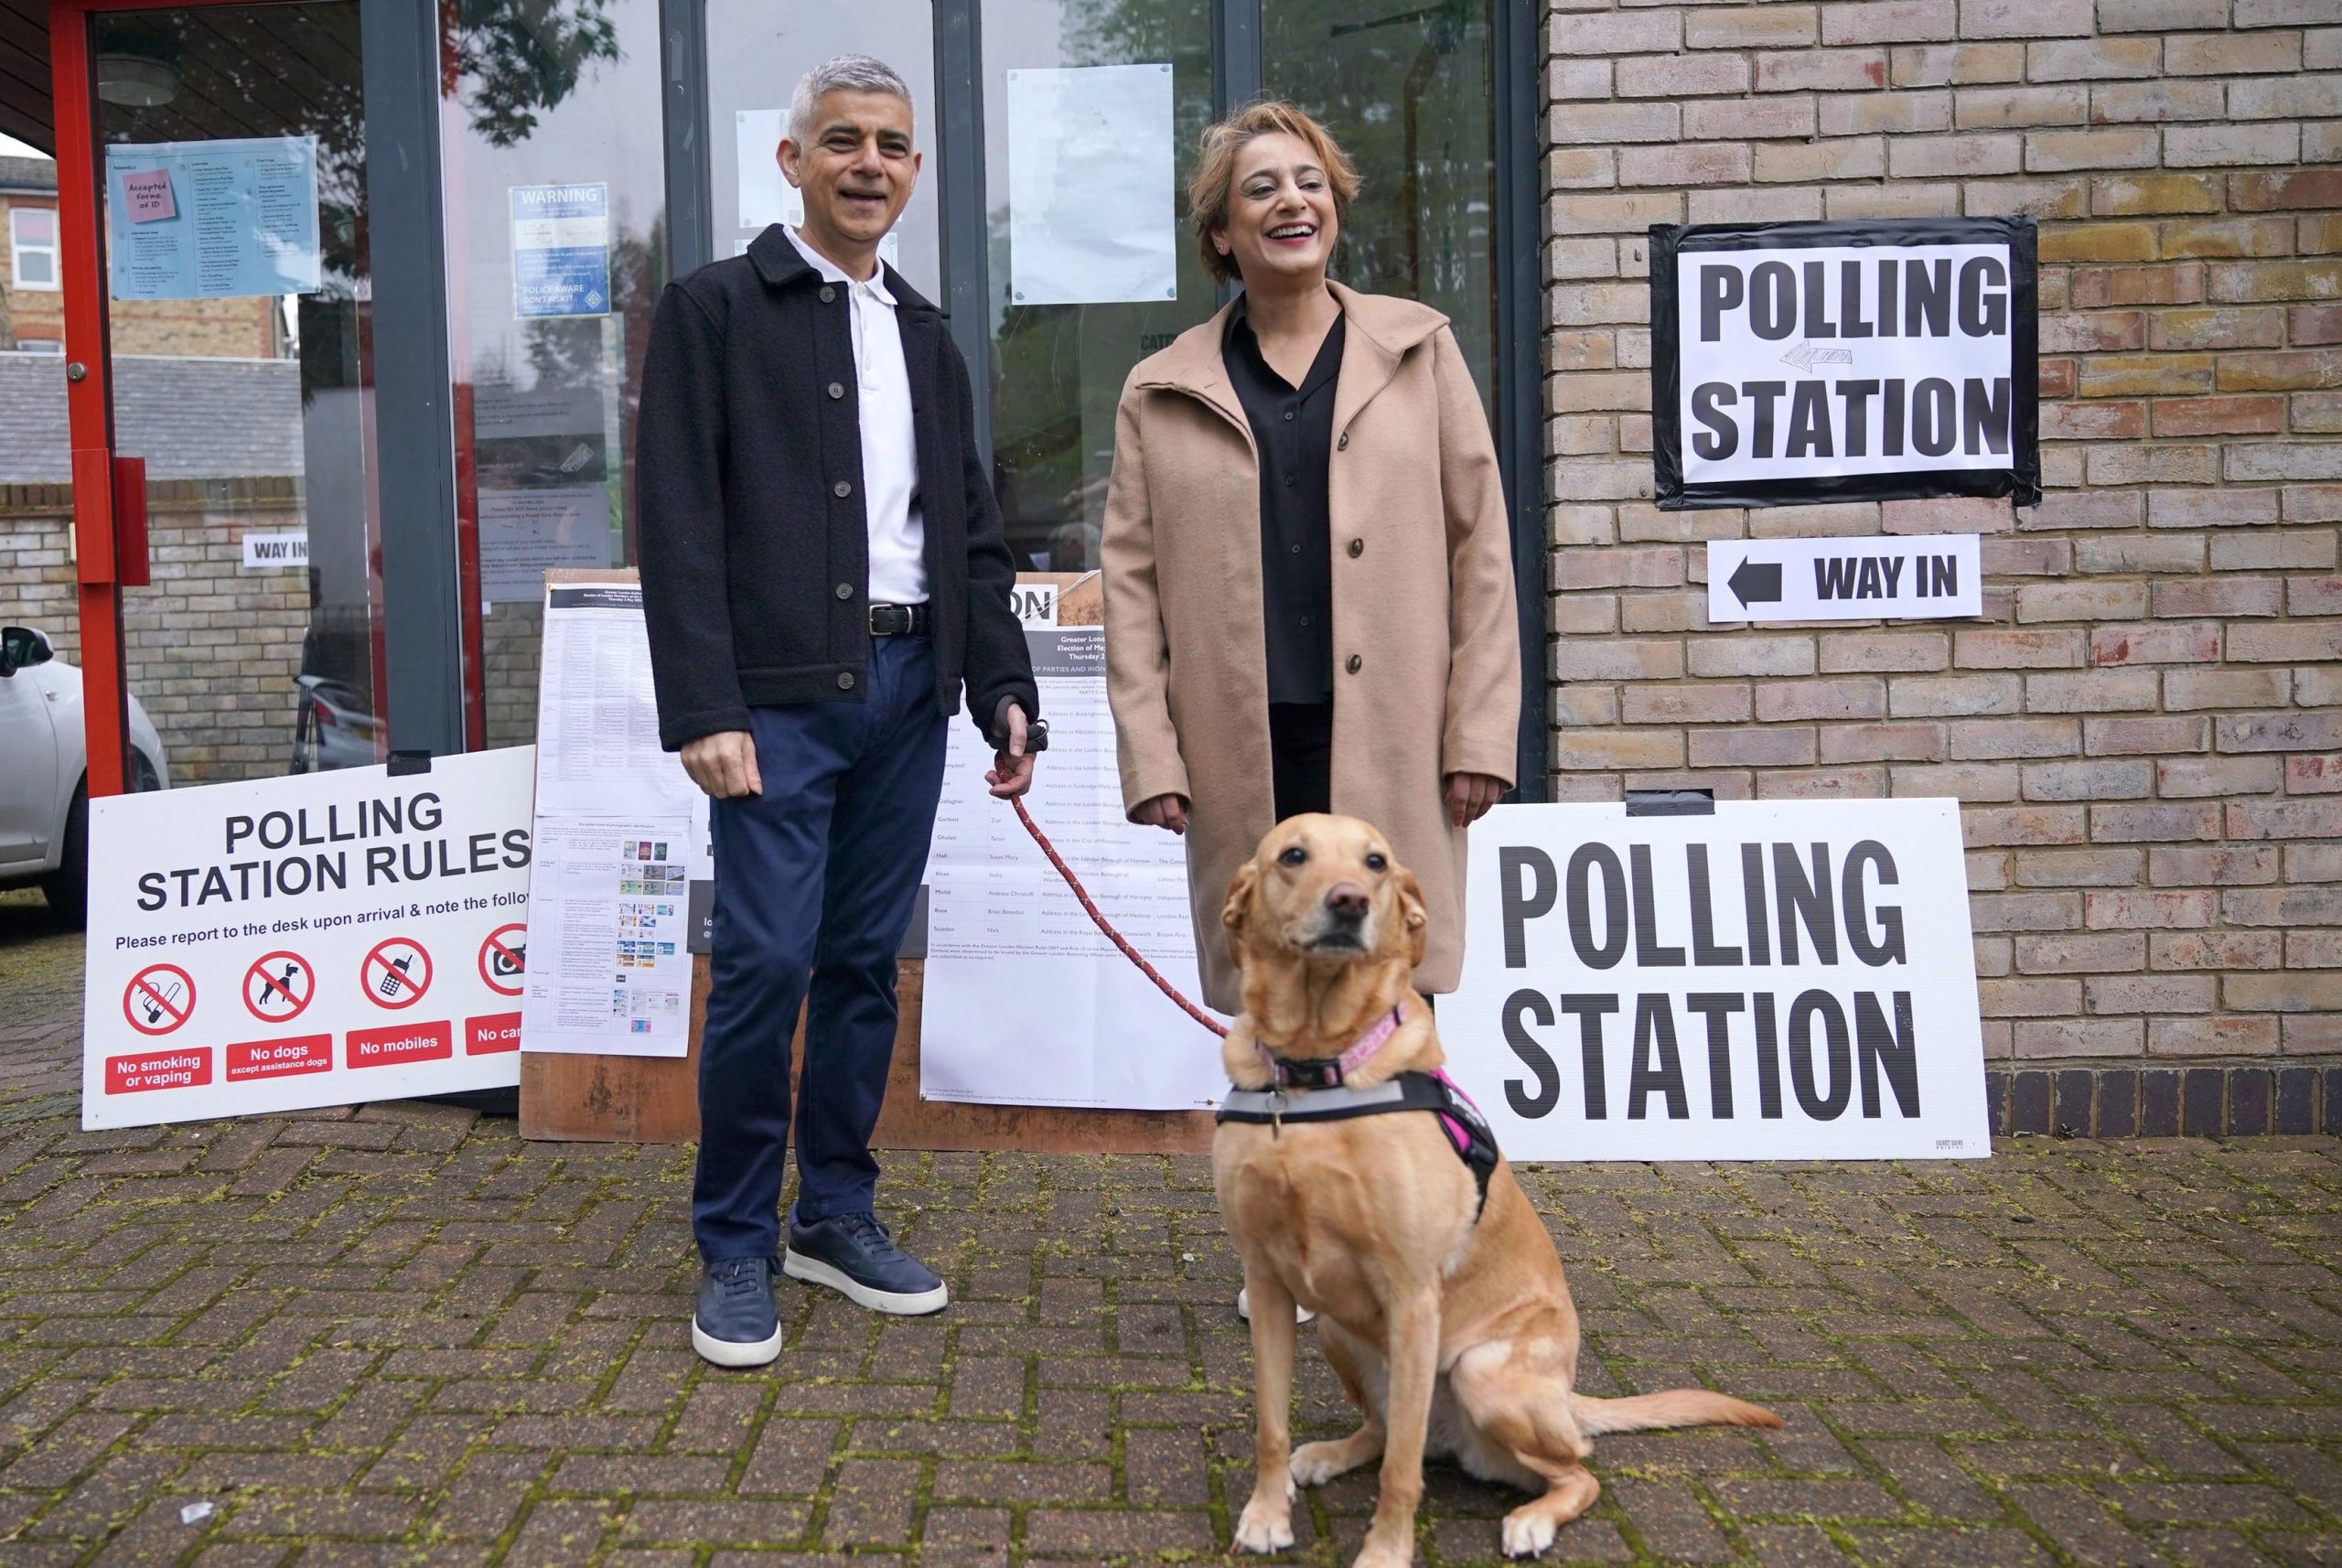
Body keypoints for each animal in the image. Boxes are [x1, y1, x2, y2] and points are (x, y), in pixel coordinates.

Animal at [1208, 819, 1770, 1563]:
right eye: (1293, 855)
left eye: (1376, 862)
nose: (1351, 901)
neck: (1313, 1072)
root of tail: (1566, 1398)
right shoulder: (1269, 1282)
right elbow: (1272, 1425)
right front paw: (1267, 1516)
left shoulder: (1413, 1296)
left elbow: (1402, 1471)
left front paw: (1386, 1552)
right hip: (1335, 1329)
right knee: (1387, 1432)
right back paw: (1329, 1454)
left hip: (1481, 1371)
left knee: (1573, 1469)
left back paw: (1533, 1519)